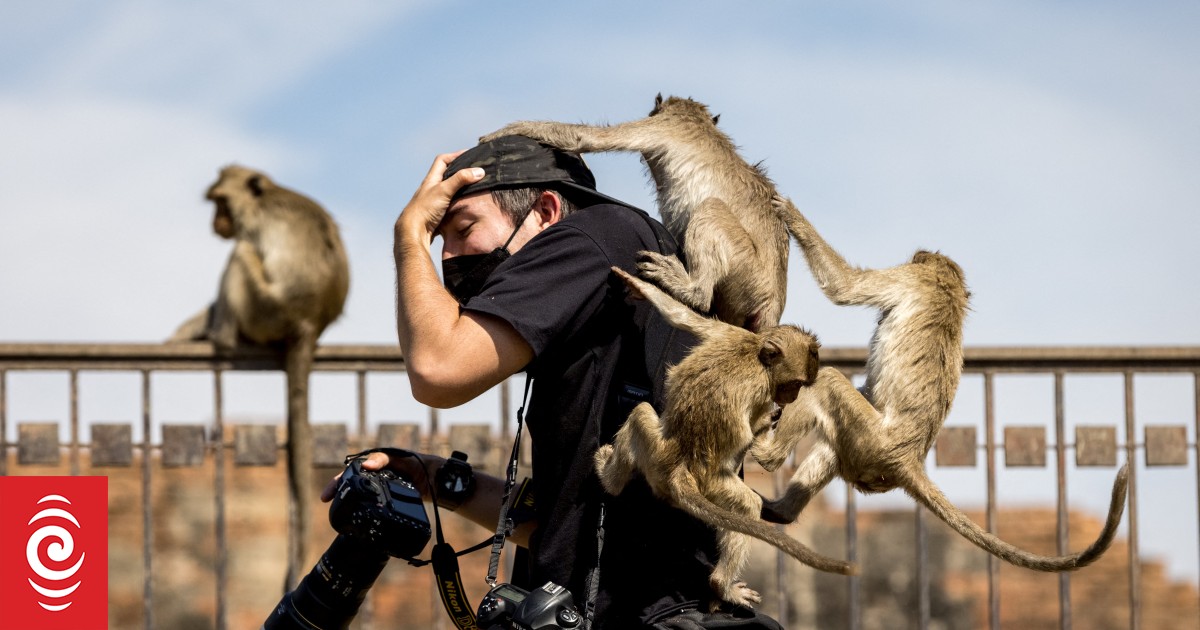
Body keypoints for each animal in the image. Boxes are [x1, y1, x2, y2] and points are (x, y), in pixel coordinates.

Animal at [169, 164, 350, 588]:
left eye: (220, 202)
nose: (215, 222)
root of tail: (308, 324)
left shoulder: (252, 228)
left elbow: (242, 251)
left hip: (265, 308)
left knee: (240, 254)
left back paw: (220, 336)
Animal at [482, 93, 792, 331]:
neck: (696, 119)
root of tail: (773, 300)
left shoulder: (664, 125)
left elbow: (587, 139)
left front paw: (505, 131)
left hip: (746, 271)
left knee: (711, 209)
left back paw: (692, 290)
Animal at [592, 265, 854, 609]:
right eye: (794, 384)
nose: (792, 397)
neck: (756, 355)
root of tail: (678, 470)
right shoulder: (760, 386)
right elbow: (749, 440)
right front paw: (764, 425)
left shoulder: (731, 334)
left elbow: (682, 317)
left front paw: (641, 287)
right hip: (709, 484)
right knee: (745, 506)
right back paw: (721, 584)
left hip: (655, 454)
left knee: (640, 415)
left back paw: (610, 480)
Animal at [753, 194, 1128, 571]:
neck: (948, 287)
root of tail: (908, 460)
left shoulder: (911, 278)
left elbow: (844, 287)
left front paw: (790, 213)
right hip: (867, 451)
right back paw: (781, 512)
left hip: (872, 441)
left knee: (827, 381)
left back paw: (767, 455)